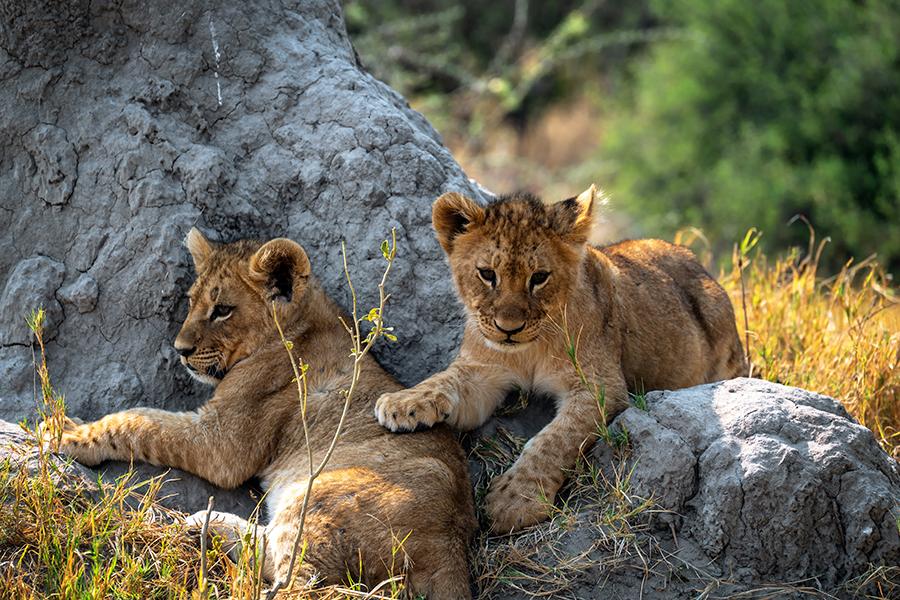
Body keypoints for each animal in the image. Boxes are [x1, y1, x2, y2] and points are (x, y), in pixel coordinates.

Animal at [46, 228, 476, 598]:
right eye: (191, 301)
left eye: (222, 310)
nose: (180, 350)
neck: (299, 324)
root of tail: (451, 551)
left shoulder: (222, 443)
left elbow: (138, 421)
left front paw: (66, 433)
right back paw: (208, 524)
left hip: (320, 499)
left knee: (299, 579)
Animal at [375, 186, 747, 533]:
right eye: (487, 274)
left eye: (539, 277)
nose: (508, 329)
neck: (528, 351)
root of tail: (697, 264)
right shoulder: (482, 371)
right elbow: (443, 379)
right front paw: (402, 402)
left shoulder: (600, 387)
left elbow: (554, 440)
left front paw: (515, 500)